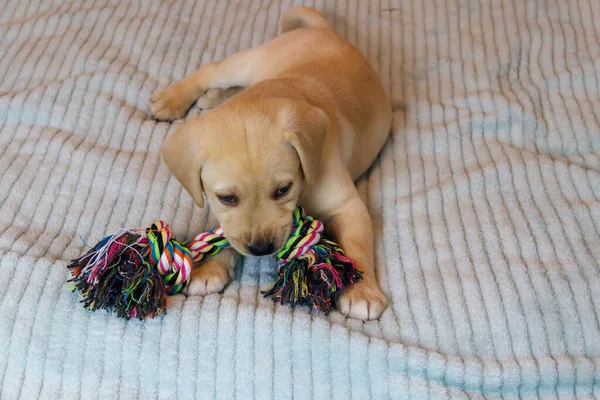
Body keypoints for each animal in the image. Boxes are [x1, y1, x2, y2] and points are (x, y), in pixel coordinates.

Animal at [151, 6, 390, 320]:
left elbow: (356, 245)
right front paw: (209, 268)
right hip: (248, 62)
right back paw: (174, 98)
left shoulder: (348, 205)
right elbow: (223, 231)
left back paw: (210, 98)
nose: (261, 248)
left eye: (283, 189)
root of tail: (323, 30)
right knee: (212, 70)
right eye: (227, 198)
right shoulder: (222, 210)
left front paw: (362, 291)